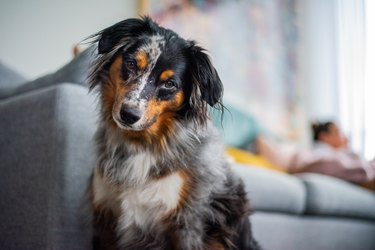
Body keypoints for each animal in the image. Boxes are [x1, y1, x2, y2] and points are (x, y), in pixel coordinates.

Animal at [87, 16, 262, 249]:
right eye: (131, 63)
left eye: (169, 84)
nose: (128, 115)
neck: (141, 144)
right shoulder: (105, 217)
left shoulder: (186, 223)